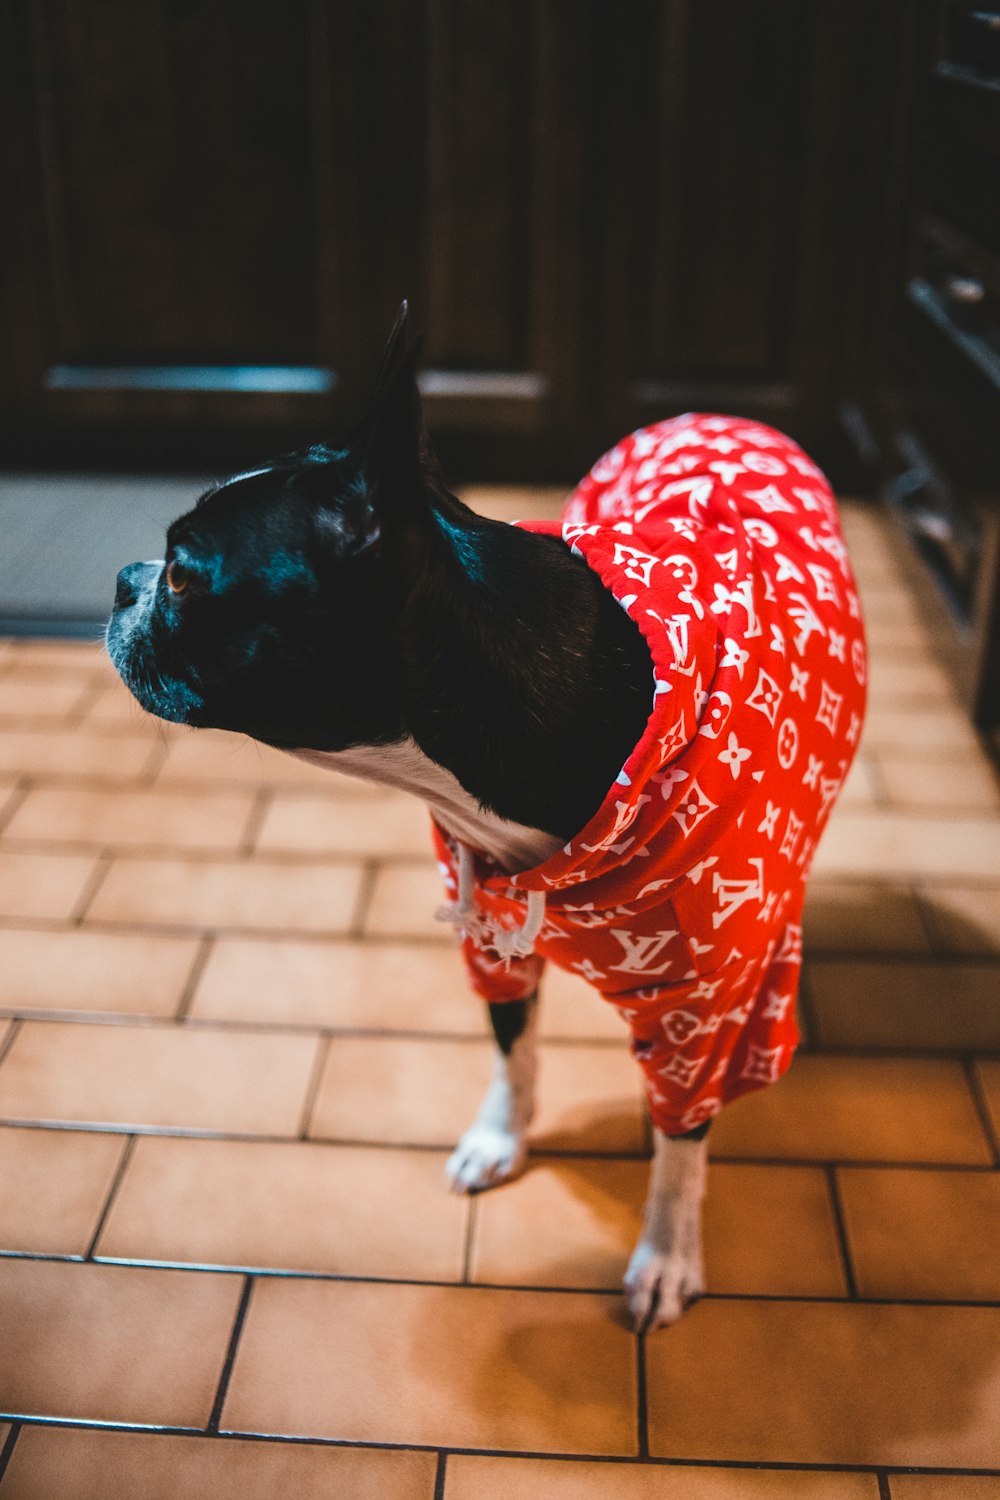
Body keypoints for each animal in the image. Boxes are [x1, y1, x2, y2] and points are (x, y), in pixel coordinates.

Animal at [105, 301, 863, 1326]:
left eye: (183, 577)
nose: (123, 578)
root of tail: (716, 409)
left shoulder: (703, 1018)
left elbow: (681, 1138)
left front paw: (667, 1253)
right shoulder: (488, 932)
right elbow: (514, 1049)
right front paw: (503, 1139)